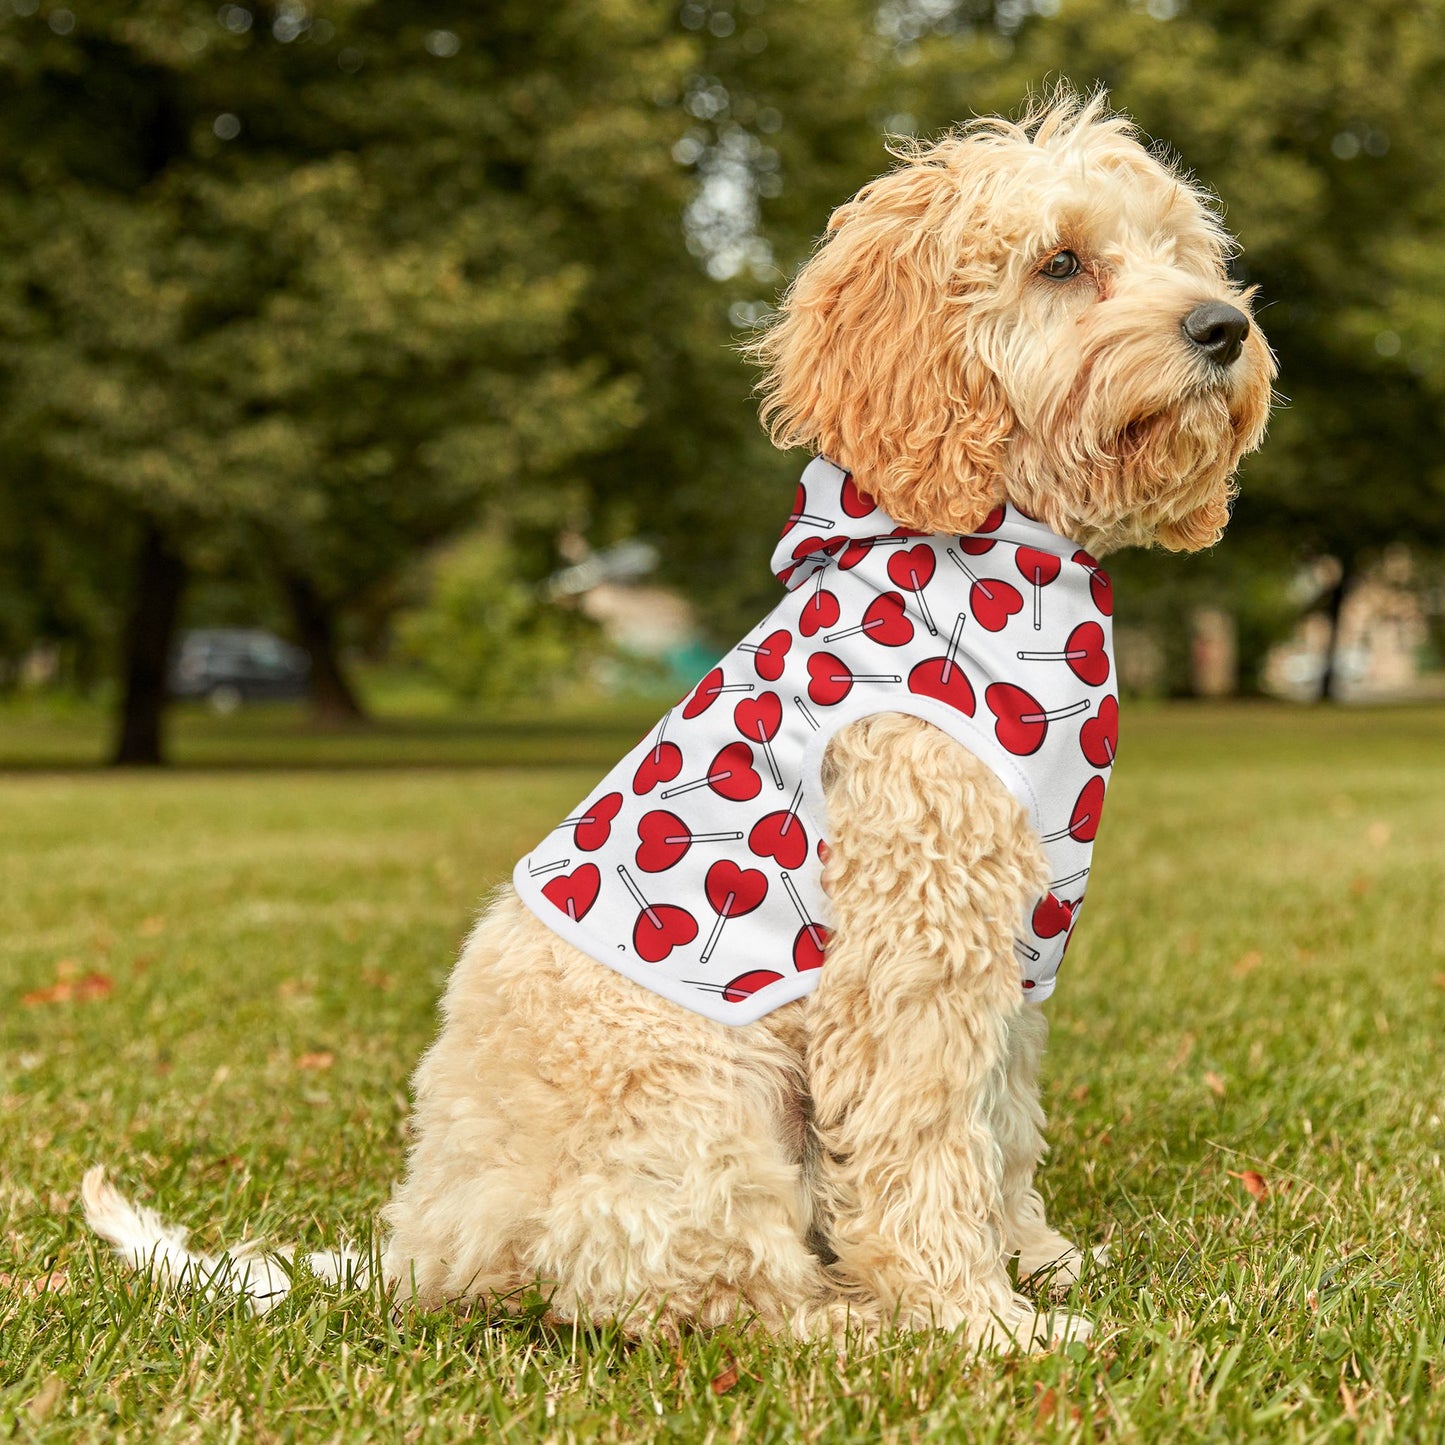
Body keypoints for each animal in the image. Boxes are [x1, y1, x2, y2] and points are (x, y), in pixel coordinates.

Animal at [84, 87, 1271, 1352]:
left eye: (1181, 253)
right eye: (1060, 262)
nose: (1221, 328)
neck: (1006, 555)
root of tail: (424, 1249)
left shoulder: (1011, 947)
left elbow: (999, 1125)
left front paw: (1037, 1260)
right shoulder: (911, 947)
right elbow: (923, 1143)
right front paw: (977, 1319)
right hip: (703, 1102)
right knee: (702, 1292)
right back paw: (854, 1322)